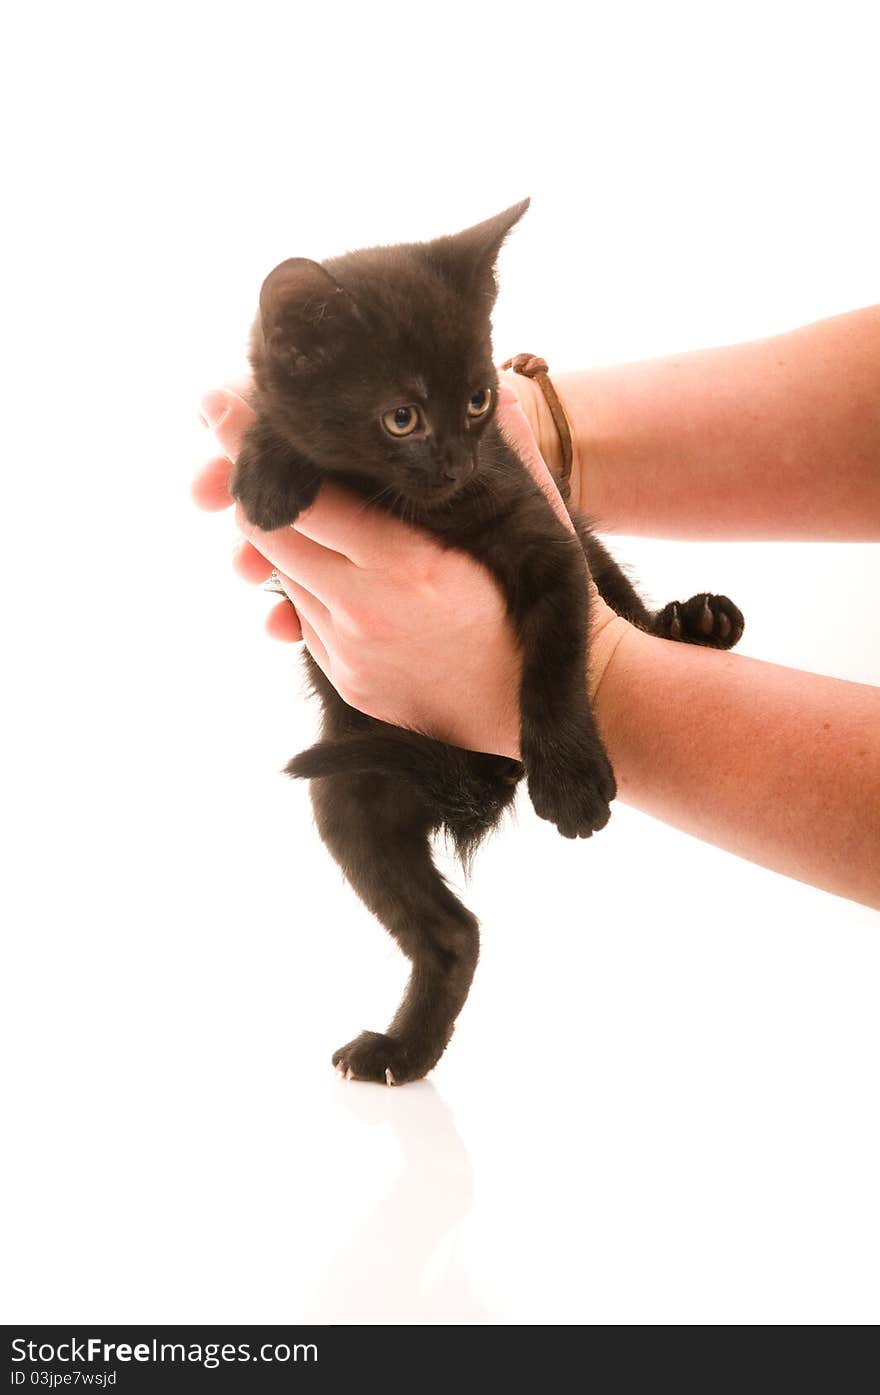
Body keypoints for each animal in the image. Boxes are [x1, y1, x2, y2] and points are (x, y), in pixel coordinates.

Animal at [232, 202, 741, 1082]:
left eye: (477, 400)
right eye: (402, 416)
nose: (457, 465)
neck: (409, 503)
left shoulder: (544, 536)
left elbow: (556, 661)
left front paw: (569, 779)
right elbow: (273, 418)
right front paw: (269, 467)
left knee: (623, 604)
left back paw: (695, 622)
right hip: (348, 789)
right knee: (454, 932)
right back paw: (401, 1050)